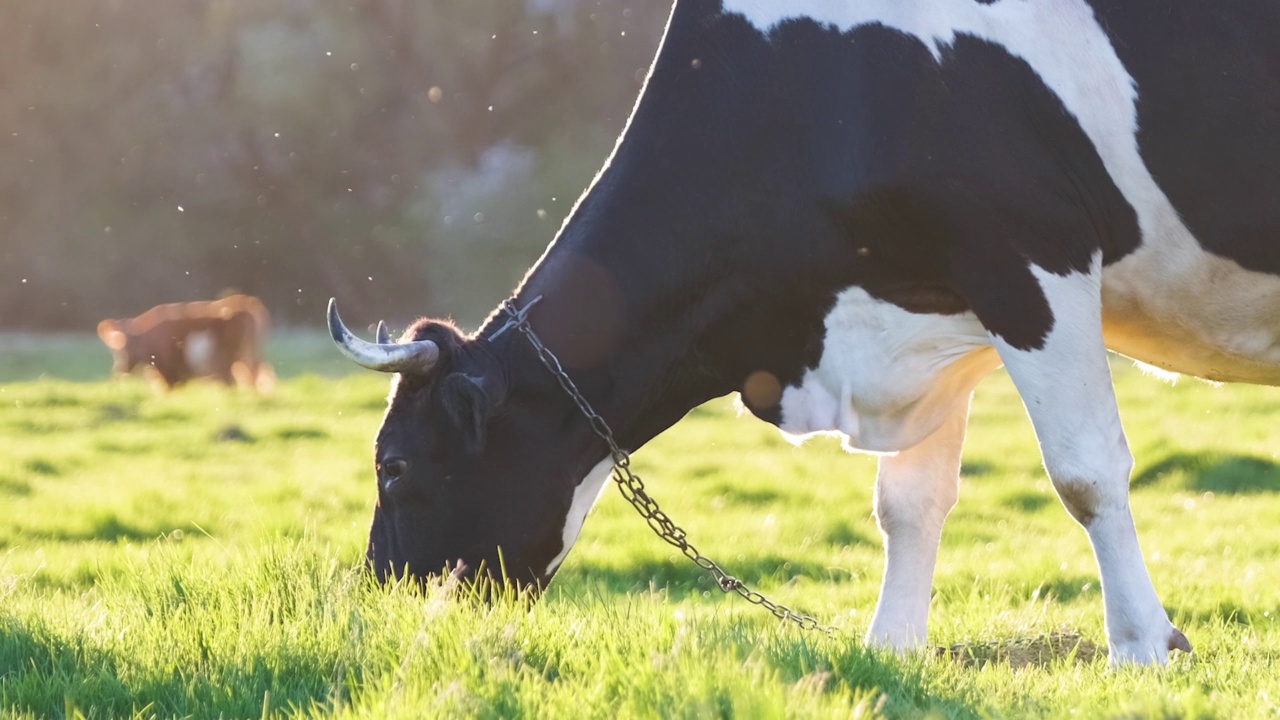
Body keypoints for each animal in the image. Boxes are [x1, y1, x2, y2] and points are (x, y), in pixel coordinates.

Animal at [322, 0, 1280, 661]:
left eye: (393, 466)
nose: (381, 604)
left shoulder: (1031, 257)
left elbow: (1084, 473)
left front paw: (1145, 646)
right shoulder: (933, 303)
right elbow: (909, 502)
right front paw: (892, 650)